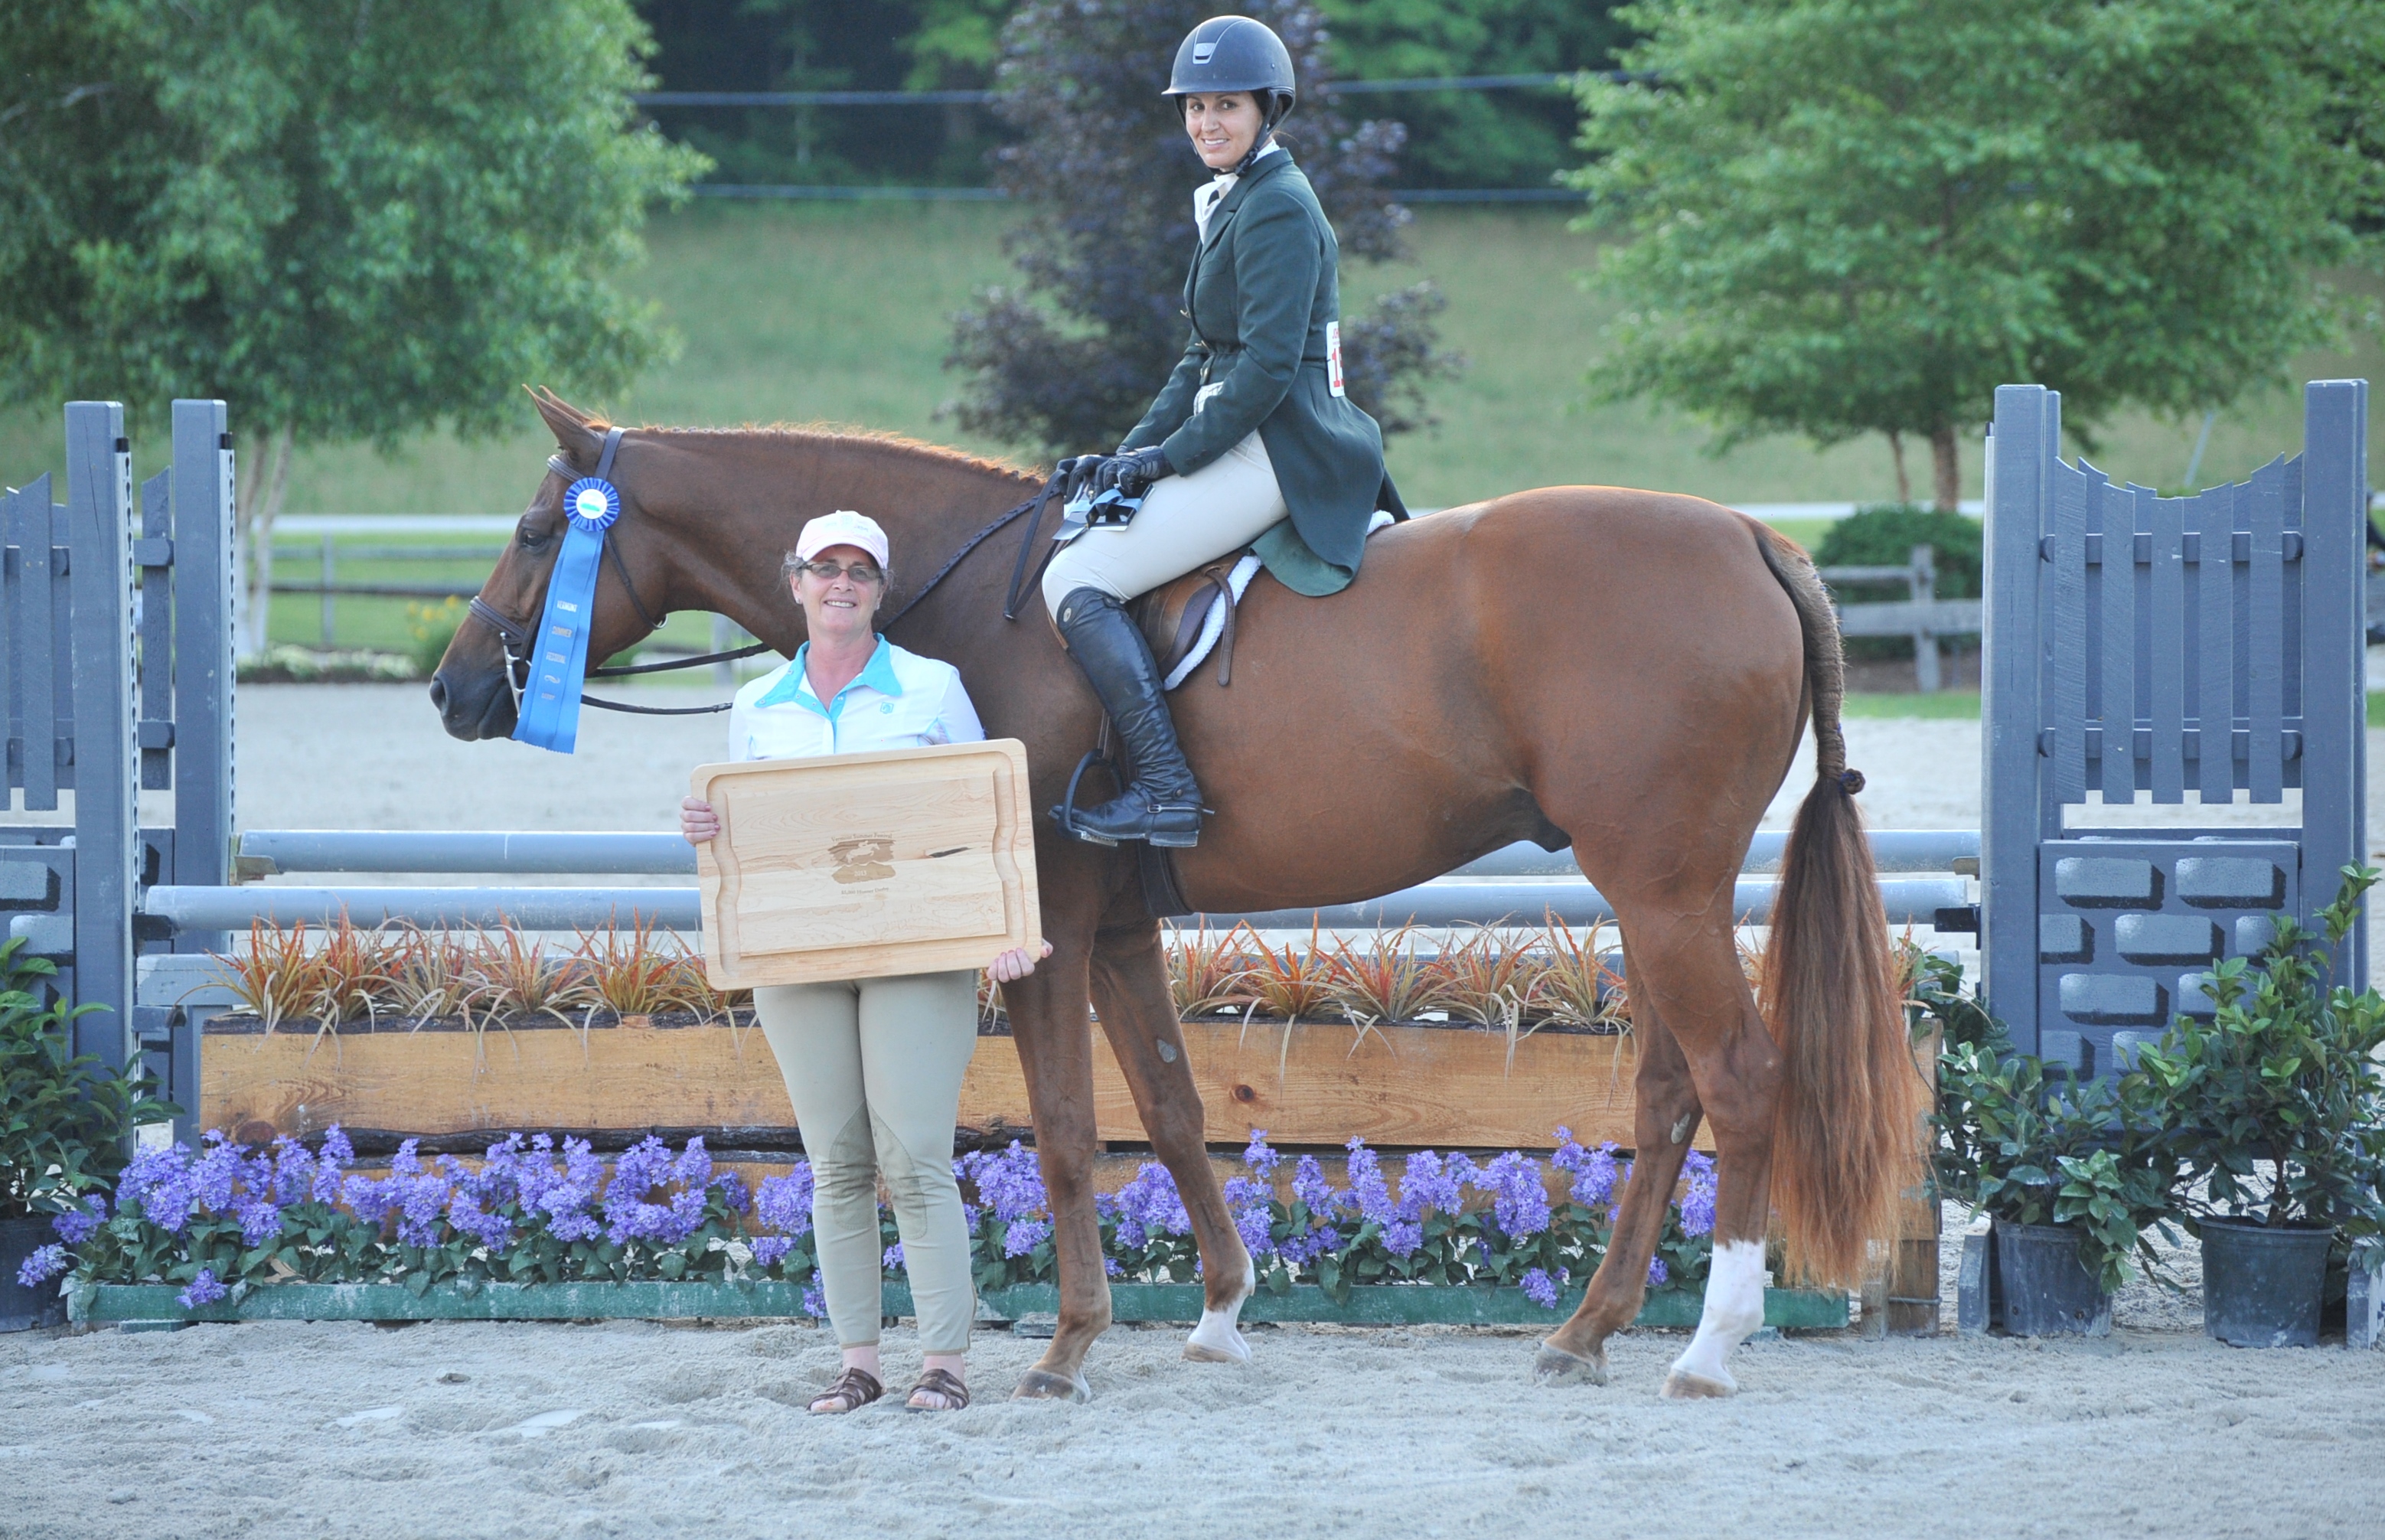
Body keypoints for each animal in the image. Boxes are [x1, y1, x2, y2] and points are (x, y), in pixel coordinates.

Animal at [429, 396, 1917, 1401]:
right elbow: (1171, 1102)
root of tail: (1750, 537)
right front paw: (1215, 1312)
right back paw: (1587, 1332)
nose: (450, 692)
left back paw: (1710, 1346)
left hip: (1662, 892)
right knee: (1668, 1097)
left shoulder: (1049, 929)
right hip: (1656, 893)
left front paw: (1068, 1345)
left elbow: (1065, 1134)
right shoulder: (1125, 928)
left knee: (1738, 1077)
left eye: (535, 530)